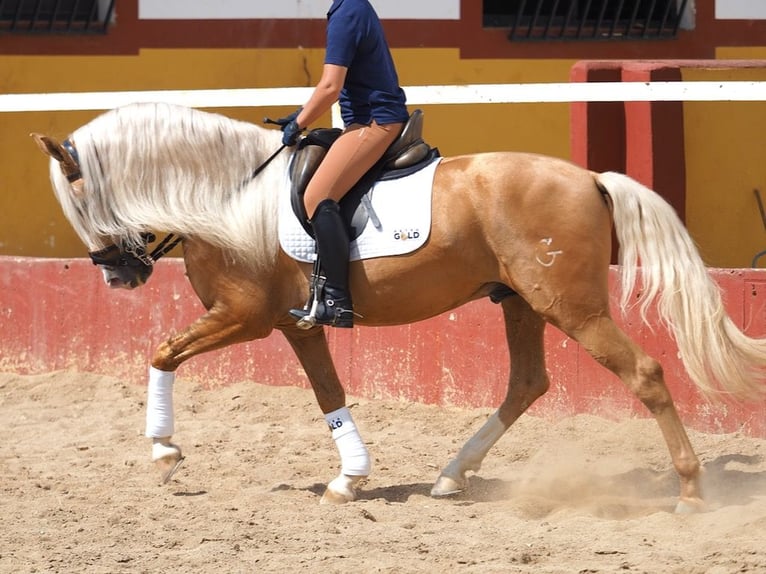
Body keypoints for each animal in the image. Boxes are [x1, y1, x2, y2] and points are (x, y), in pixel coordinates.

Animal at [33, 102, 764, 512]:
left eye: (78, 202)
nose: (120, 277)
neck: (225, 198)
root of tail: (588, 175)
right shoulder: (296, 327)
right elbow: (329, 393)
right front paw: (349, 479)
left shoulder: (245, 316)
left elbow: (161, 352)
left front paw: (163, 449)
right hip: (520, 302)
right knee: (527, 383)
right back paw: (450, 476)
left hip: (571, 308)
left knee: (643, 373)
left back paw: (690, 491)